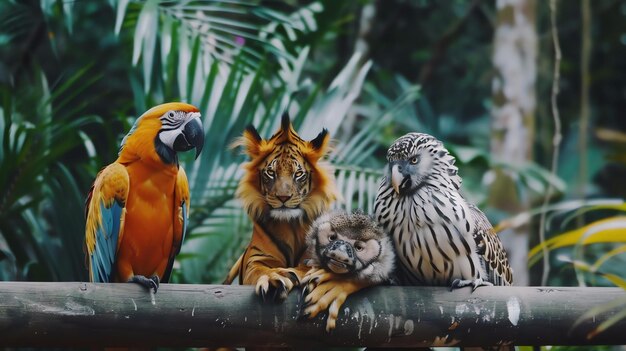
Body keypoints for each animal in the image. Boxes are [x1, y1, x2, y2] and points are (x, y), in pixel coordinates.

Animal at [224, 113, 338, 302]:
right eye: (271, 173)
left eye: (298, 174)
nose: (283, 197)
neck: (290, 225)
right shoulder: (256, 259)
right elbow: (261, 270)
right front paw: (273, 279)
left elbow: (307, 267)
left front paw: (295, 274)